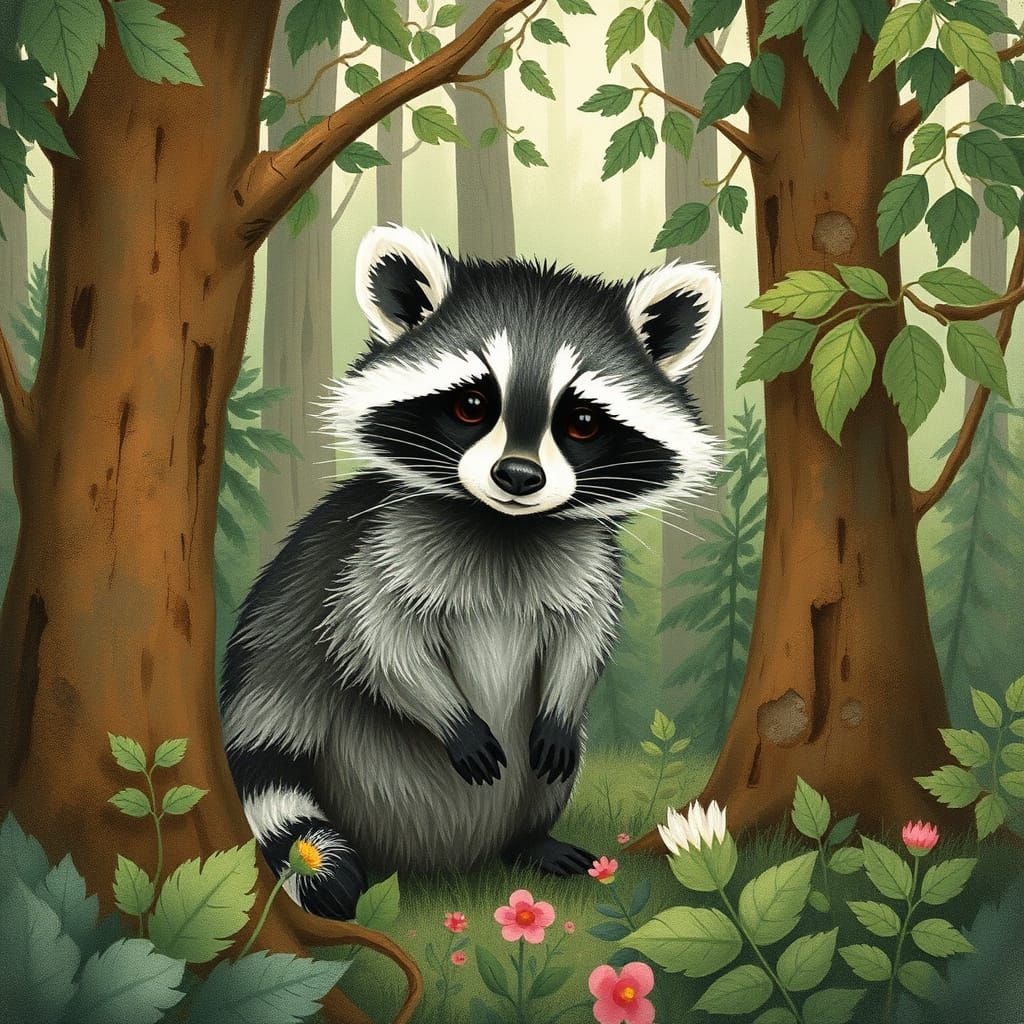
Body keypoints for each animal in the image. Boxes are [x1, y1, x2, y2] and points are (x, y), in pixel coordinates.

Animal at [219, 225, 722, 919]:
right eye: (472, 405)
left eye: (582, 422)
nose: (518, 476)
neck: (504, 526)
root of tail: (450, 862)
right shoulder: (377, 549)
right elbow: (374, 641)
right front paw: (451, 718)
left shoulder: (590, 563)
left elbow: (585, 638)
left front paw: (565, 699)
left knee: (549, 775)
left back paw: (528, 841)